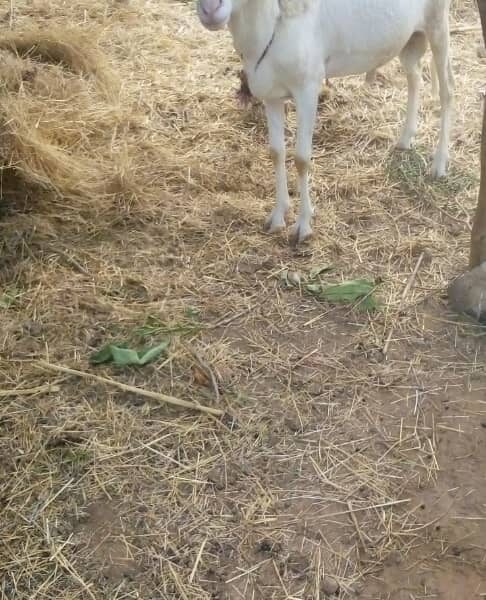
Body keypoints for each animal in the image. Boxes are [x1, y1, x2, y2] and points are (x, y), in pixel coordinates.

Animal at [196, 0, 454, 244]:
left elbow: (301, 159)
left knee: (446, 91)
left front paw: (302, 226)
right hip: (409, 37)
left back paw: (439, 165)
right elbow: (276, 152)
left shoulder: (307, 87)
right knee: (415, 76)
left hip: (437, 22)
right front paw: (277, 216)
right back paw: (405, 138)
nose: (210, 10)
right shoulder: (271, 94)